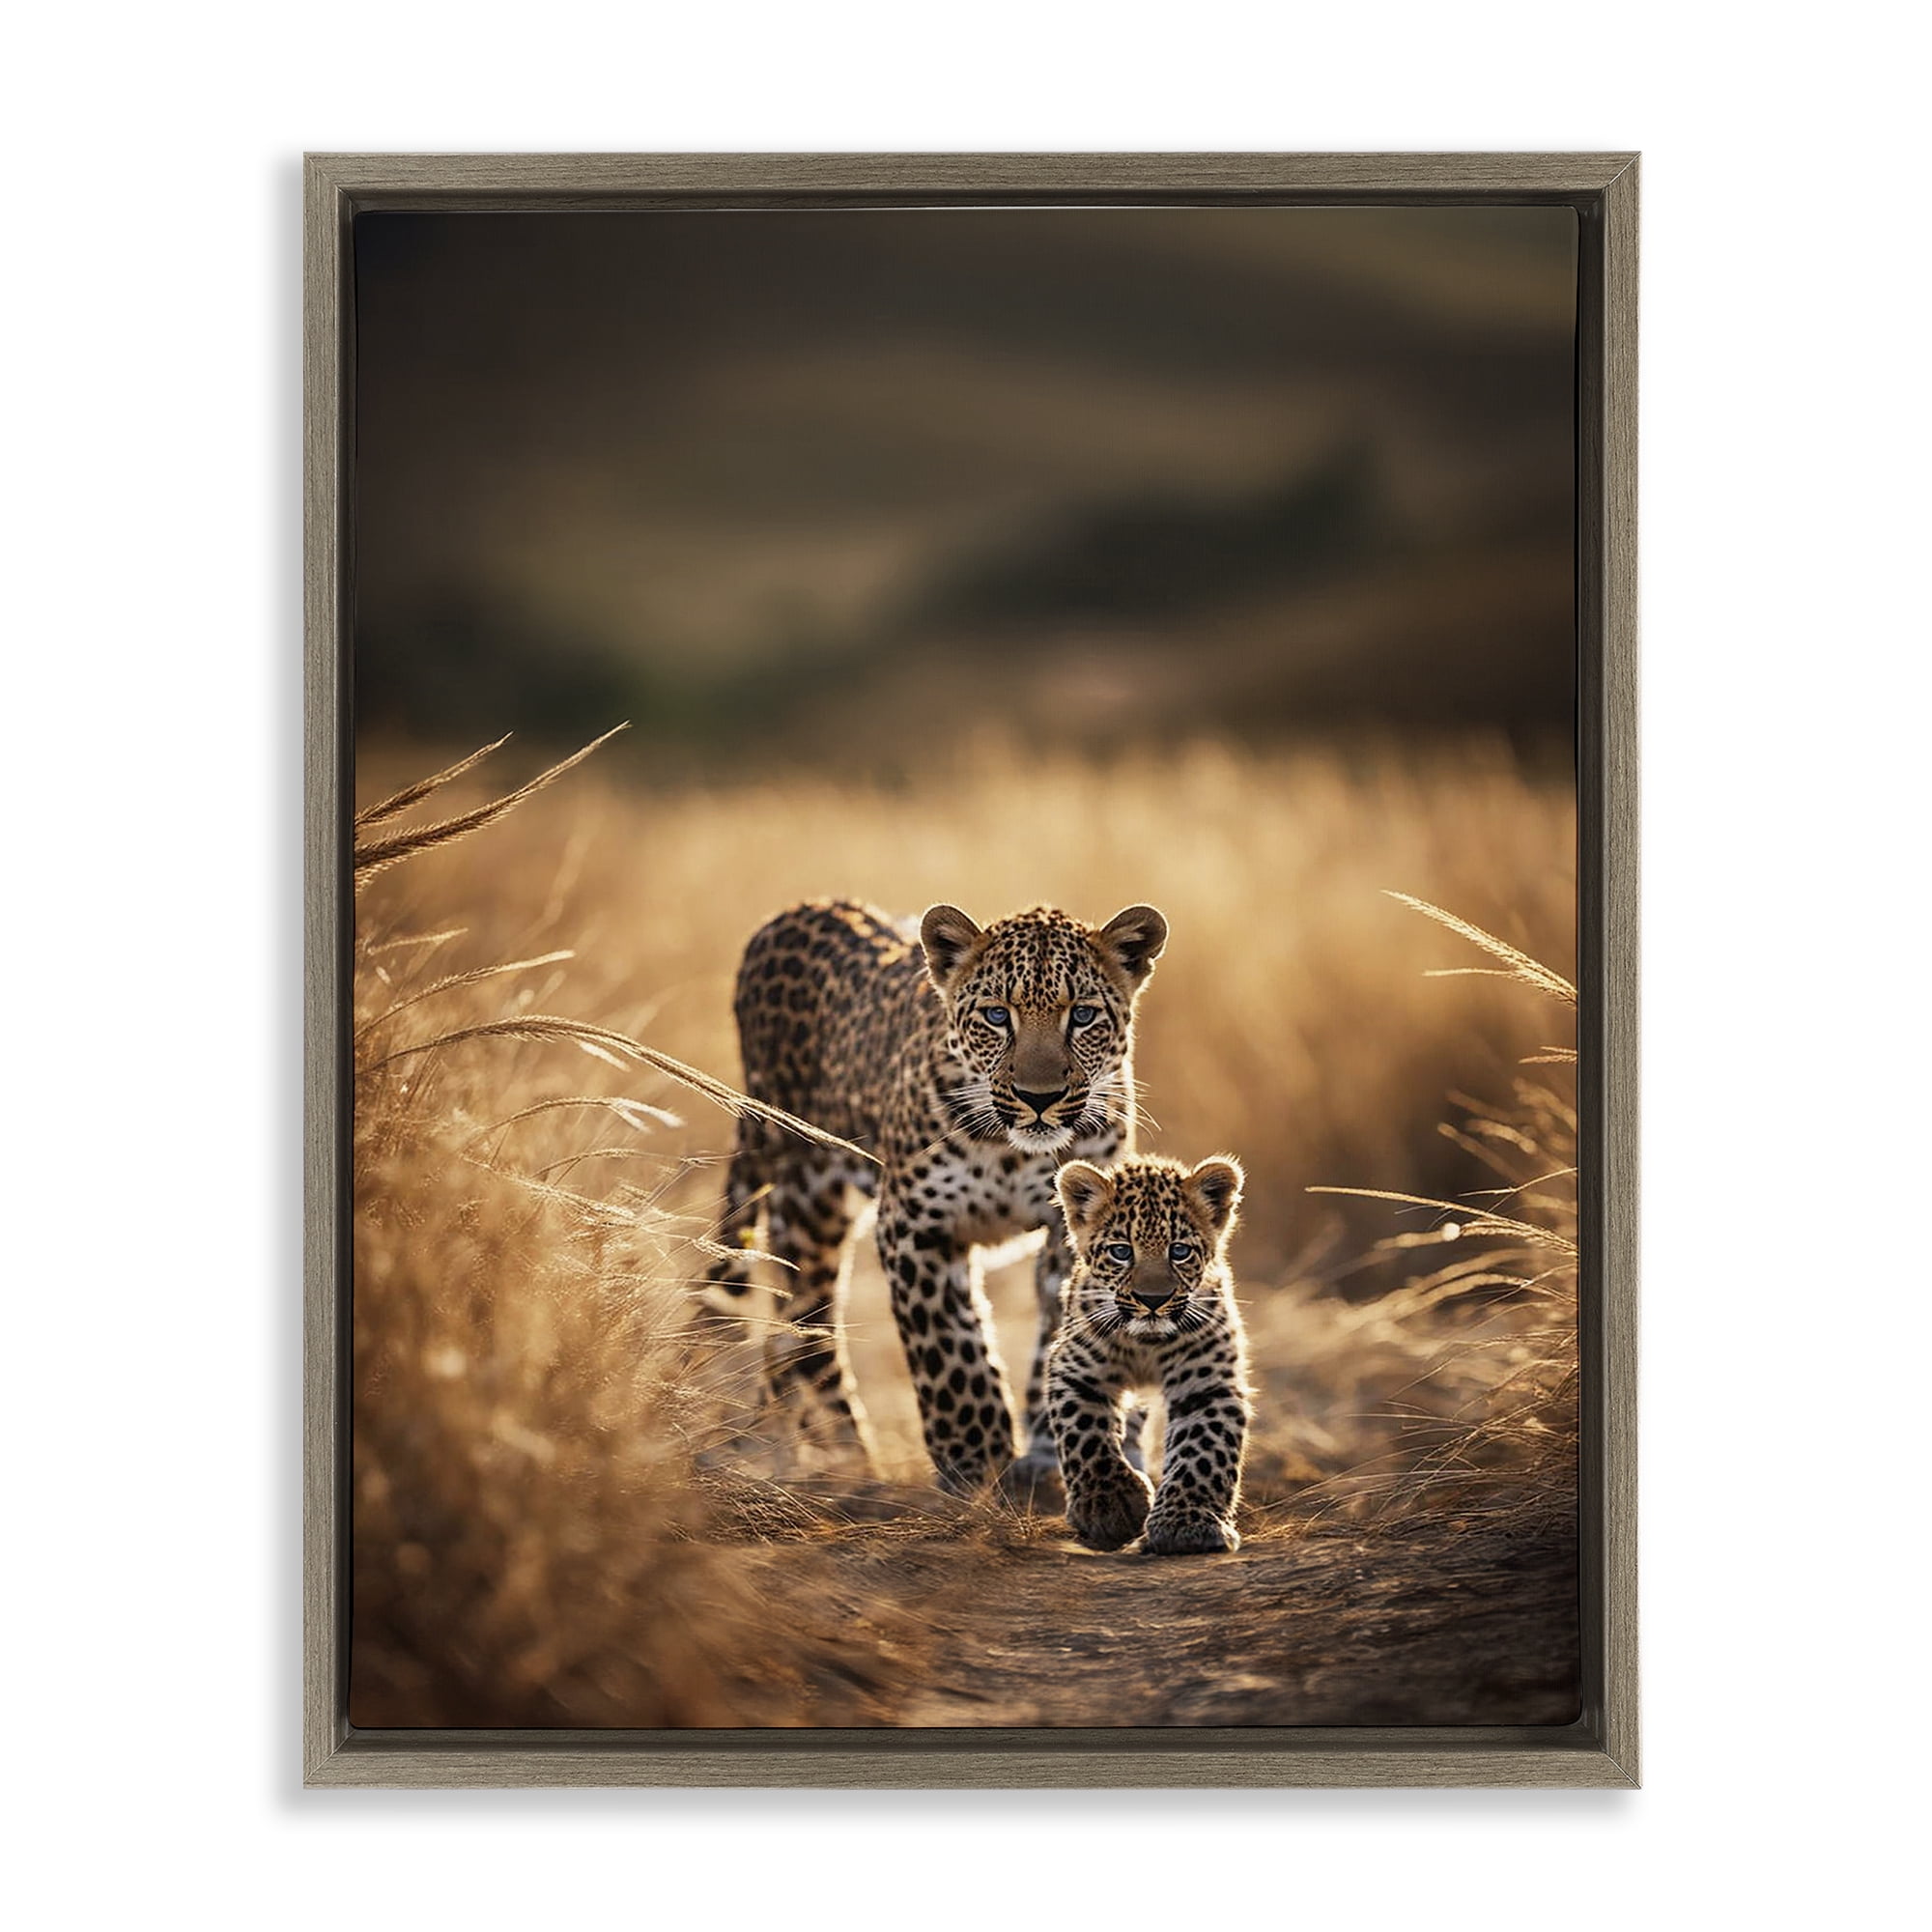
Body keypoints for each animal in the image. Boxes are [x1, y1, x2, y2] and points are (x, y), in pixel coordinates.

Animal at [704, 896, 1169, 1496]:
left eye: (1083, 1016)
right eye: (997, 1016)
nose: (1038, 1098)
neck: (1013, 1152)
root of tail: (796, 909)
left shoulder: (1081, 1233)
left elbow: (1064, 1339)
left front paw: (1052, 1455)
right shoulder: (916, 1226)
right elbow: (950, 1350)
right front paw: (977, 1460)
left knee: (787, 1333)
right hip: (801, 1192)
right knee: (808, 1323)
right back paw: (844, 1457)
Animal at [1046, 1153, 1252, 1555]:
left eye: (1180, 1251)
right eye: (1121, 1252)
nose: (1152, 1300)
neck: (1146, 1345)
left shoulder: (1208, 1385)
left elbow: (1203, 1449)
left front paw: (1185, 1525)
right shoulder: (1074, 1369)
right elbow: (1085, 1434)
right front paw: (1110, 1504)